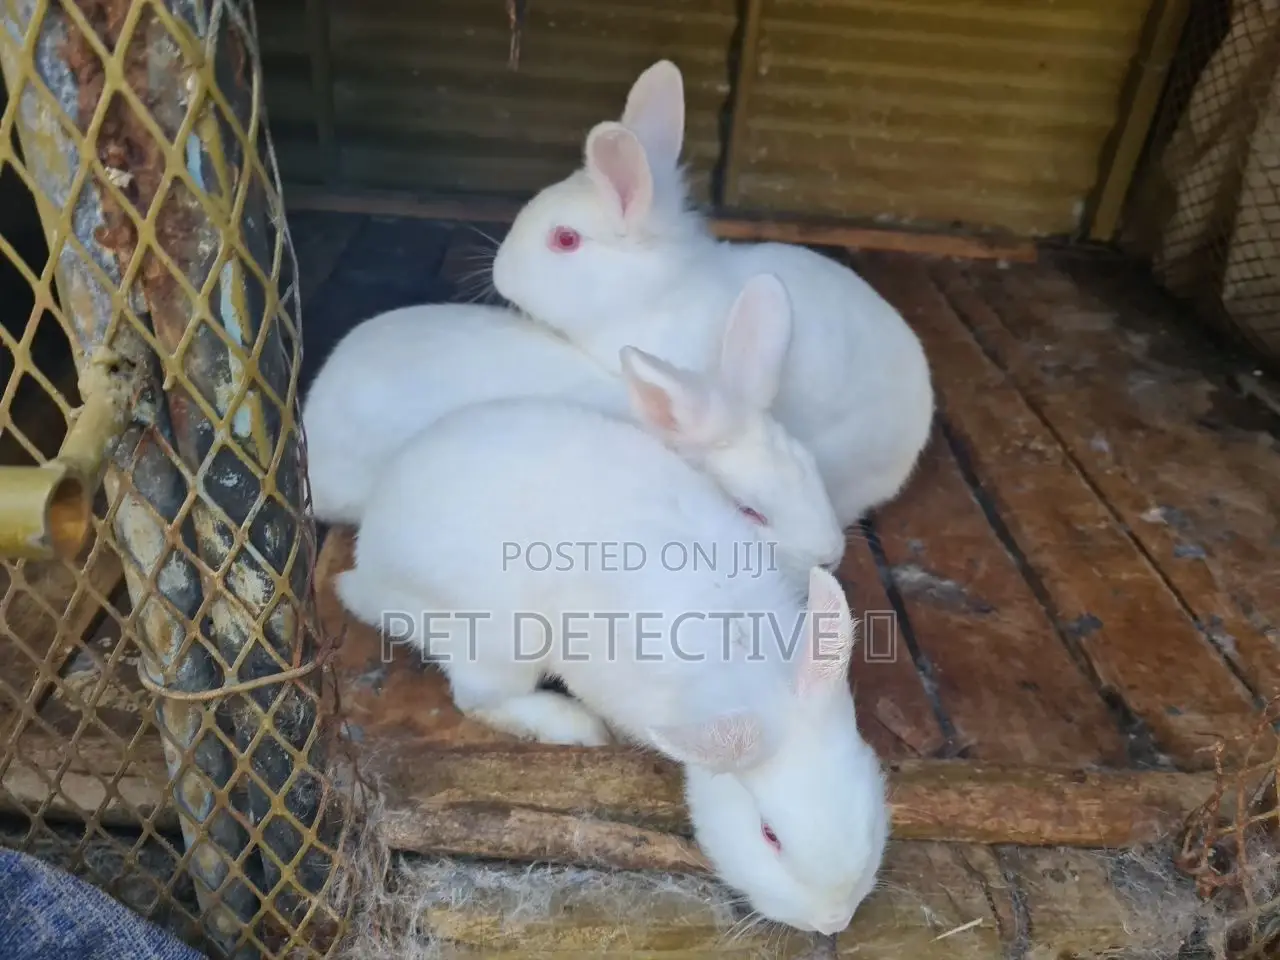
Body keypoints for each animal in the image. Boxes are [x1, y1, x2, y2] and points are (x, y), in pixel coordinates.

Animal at [333, 377, 888, 936]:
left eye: (866, 803)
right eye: (769, 836)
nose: (834, 921)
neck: (751, 673)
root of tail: (368, 565)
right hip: (498, 639)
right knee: (479, 699)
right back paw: (575, 727)